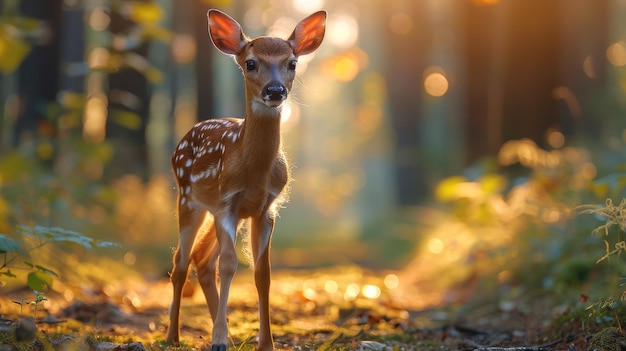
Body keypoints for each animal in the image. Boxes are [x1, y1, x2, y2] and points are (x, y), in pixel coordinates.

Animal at [163, 7, 324, 351]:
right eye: (250, 63)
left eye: (292, 63)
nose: (275, 91)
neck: (254, 174)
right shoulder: (227, 203)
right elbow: (229, 264)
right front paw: (217, 340)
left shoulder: (264, 209)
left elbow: (262, 272)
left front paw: (266, 343)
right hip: (188, 199)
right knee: (181, 262)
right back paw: (173, 336)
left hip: (216, 211)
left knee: (201, 260)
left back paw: (227, 335)